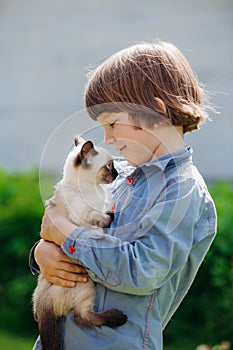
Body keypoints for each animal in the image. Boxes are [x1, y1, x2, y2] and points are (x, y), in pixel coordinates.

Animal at [32, 137, 126, 350]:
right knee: (81, 317)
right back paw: (119, 317)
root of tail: (42, 304)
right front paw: (111, 216)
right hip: (87, 286)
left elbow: (103, 213)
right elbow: (100, 218)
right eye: (109, 166)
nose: (117, 174)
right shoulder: (85, 215)